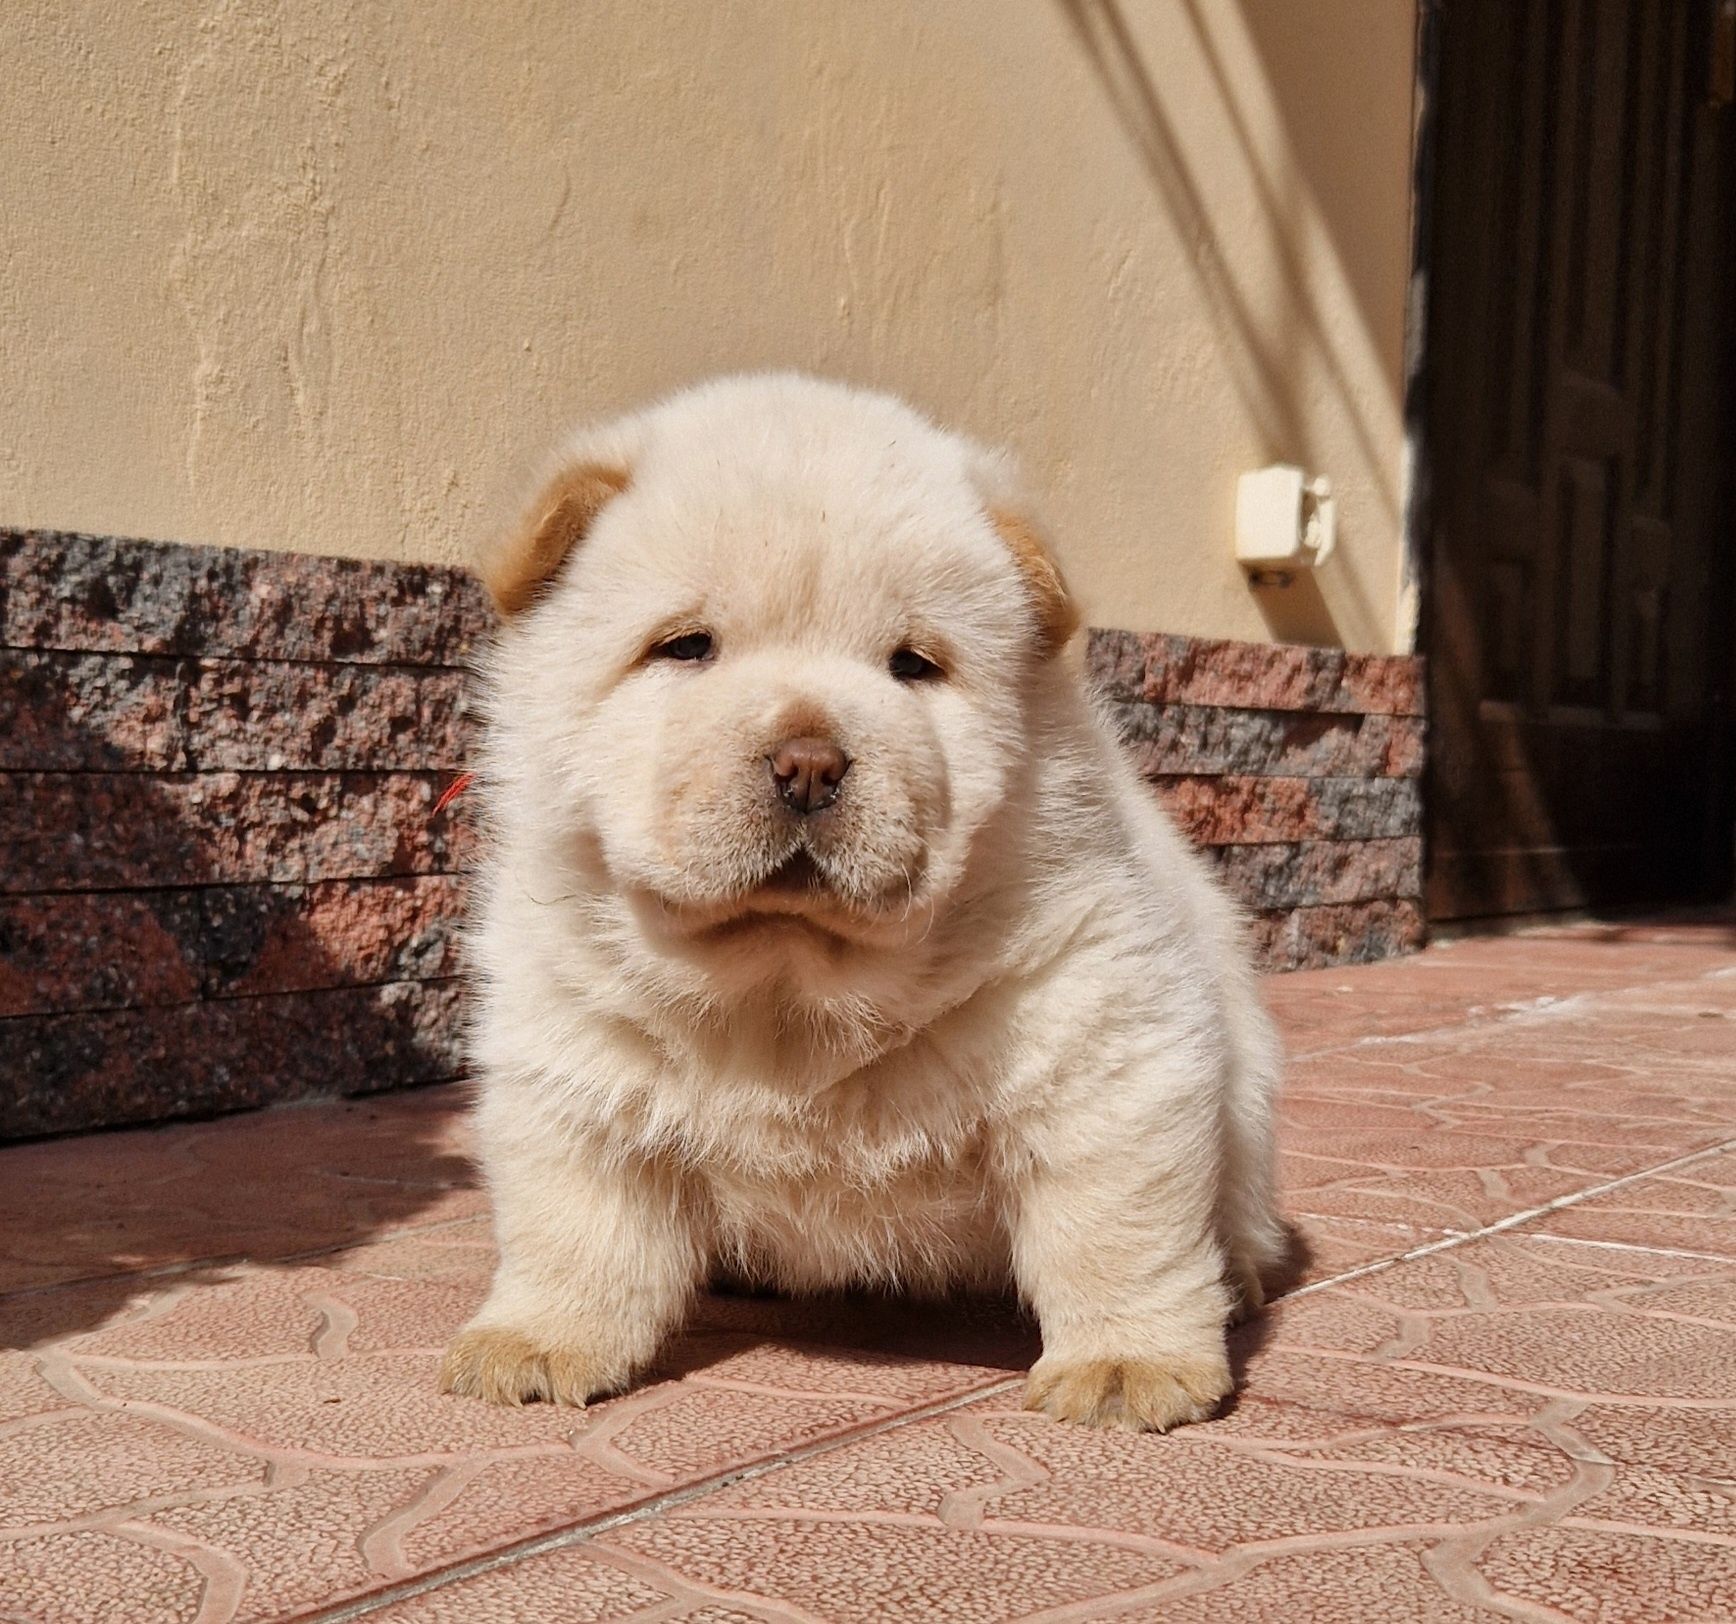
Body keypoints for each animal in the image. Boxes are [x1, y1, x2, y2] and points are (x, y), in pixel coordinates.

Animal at [444, 375, 1291, 1431]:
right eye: (685, 648)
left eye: (913, 665)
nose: (809, 763)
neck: (787, 984)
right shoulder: (574, 1051)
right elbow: (574, 1222)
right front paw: (531, 1342)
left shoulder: (1100, 1037)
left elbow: (1112, 1224)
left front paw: (1127, 1367)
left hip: (1246, 1087)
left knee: (1235, 1206)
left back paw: (1241, 1281)